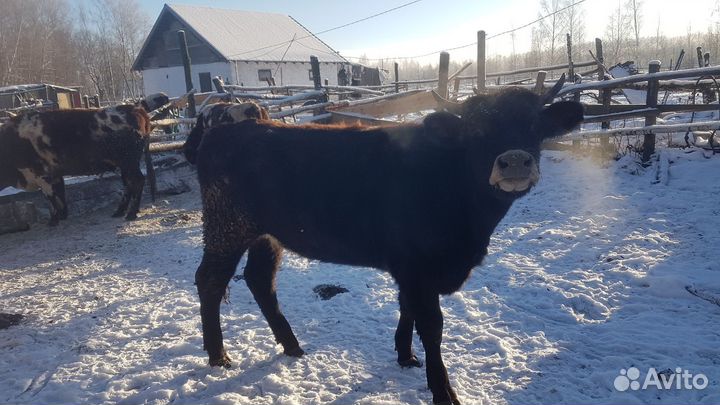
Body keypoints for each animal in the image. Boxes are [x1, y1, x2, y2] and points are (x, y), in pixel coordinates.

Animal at [0, 104, 153, 225]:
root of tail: (135, 108)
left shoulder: (42, 176)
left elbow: (51, 198)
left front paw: (53, 220)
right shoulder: (55, 175)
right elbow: (60, 195)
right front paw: (62, 215)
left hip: (129, 162)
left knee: (137, 181)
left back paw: (131, 213)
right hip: (125, 165)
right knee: (128, 184)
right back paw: (120, 211)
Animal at [188, 80, 583, 404]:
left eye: (534, 124)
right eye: (475, 130)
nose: (514, 161)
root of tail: (227, 131)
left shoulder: (411, 269)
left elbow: (406, 308)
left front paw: (405, 357)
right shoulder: (418, 268)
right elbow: (432, 327)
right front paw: (444, 392)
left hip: (266, 235)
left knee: (260, 280)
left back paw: (292, 346)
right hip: (227, 227)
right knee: (210, 280)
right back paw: (218, 356)